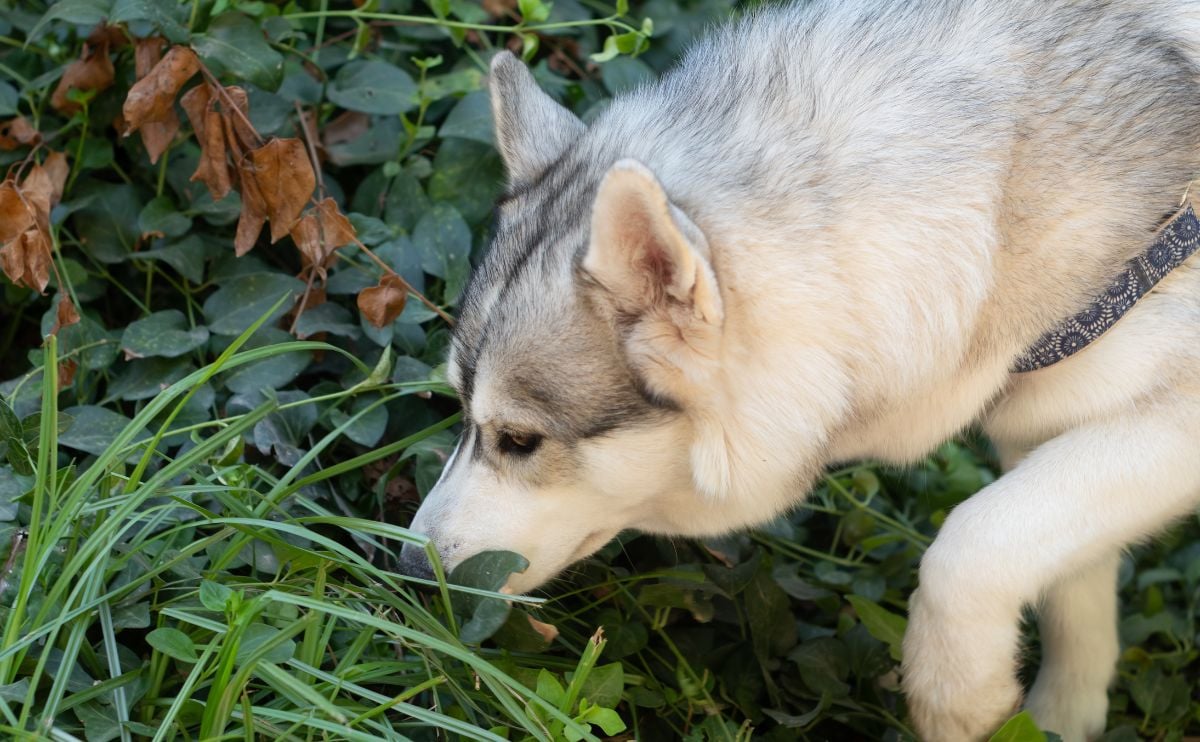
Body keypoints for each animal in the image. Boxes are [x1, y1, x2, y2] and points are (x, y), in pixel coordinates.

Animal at [398, 2, 1200, 734]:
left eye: (520, 441)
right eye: (462, 416)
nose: (405, 574)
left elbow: (968, 546)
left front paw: (960, 693)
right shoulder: (1048, 430)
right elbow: (1070, 594)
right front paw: (1062, 717)